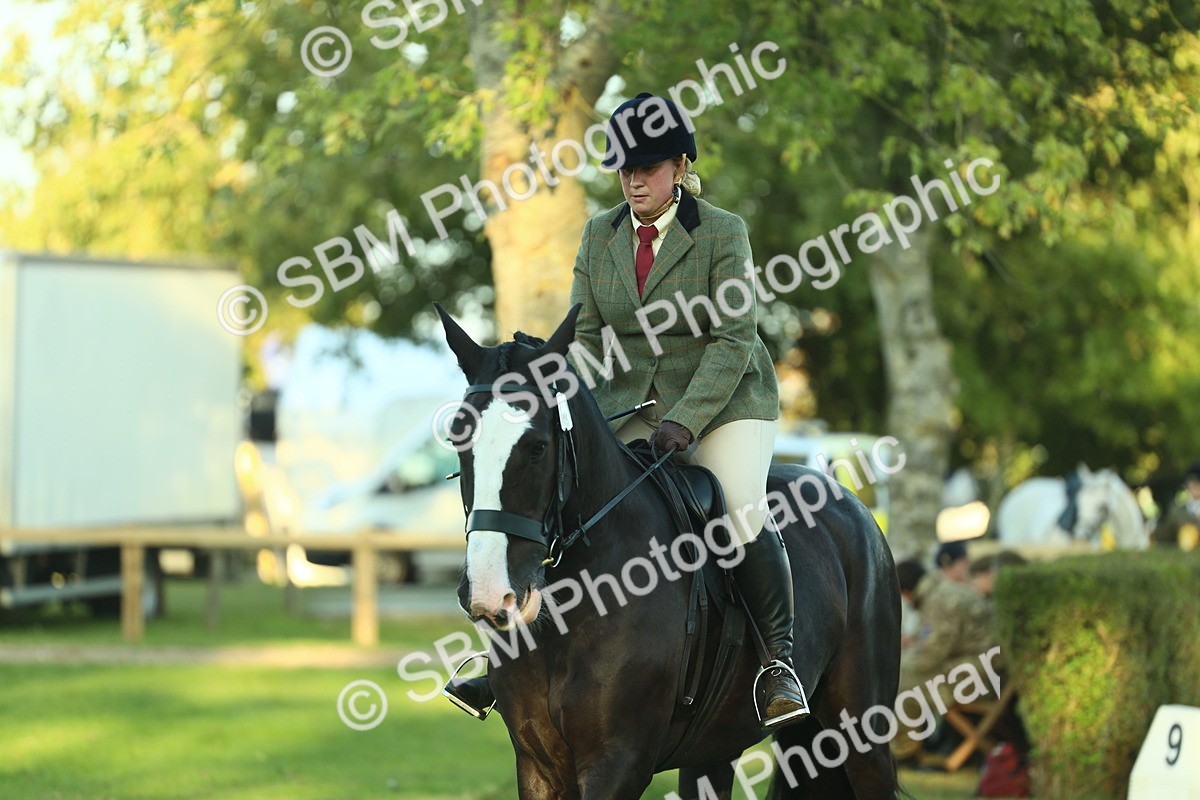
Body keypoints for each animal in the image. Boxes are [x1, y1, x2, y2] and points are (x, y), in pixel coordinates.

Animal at [437, 303, 903, 799]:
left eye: (538, 447)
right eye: (458, 440)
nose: (489, 594)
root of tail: (850, 501)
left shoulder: (618, 761)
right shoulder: (537, 763)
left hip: (862, 731)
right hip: (716, 744)